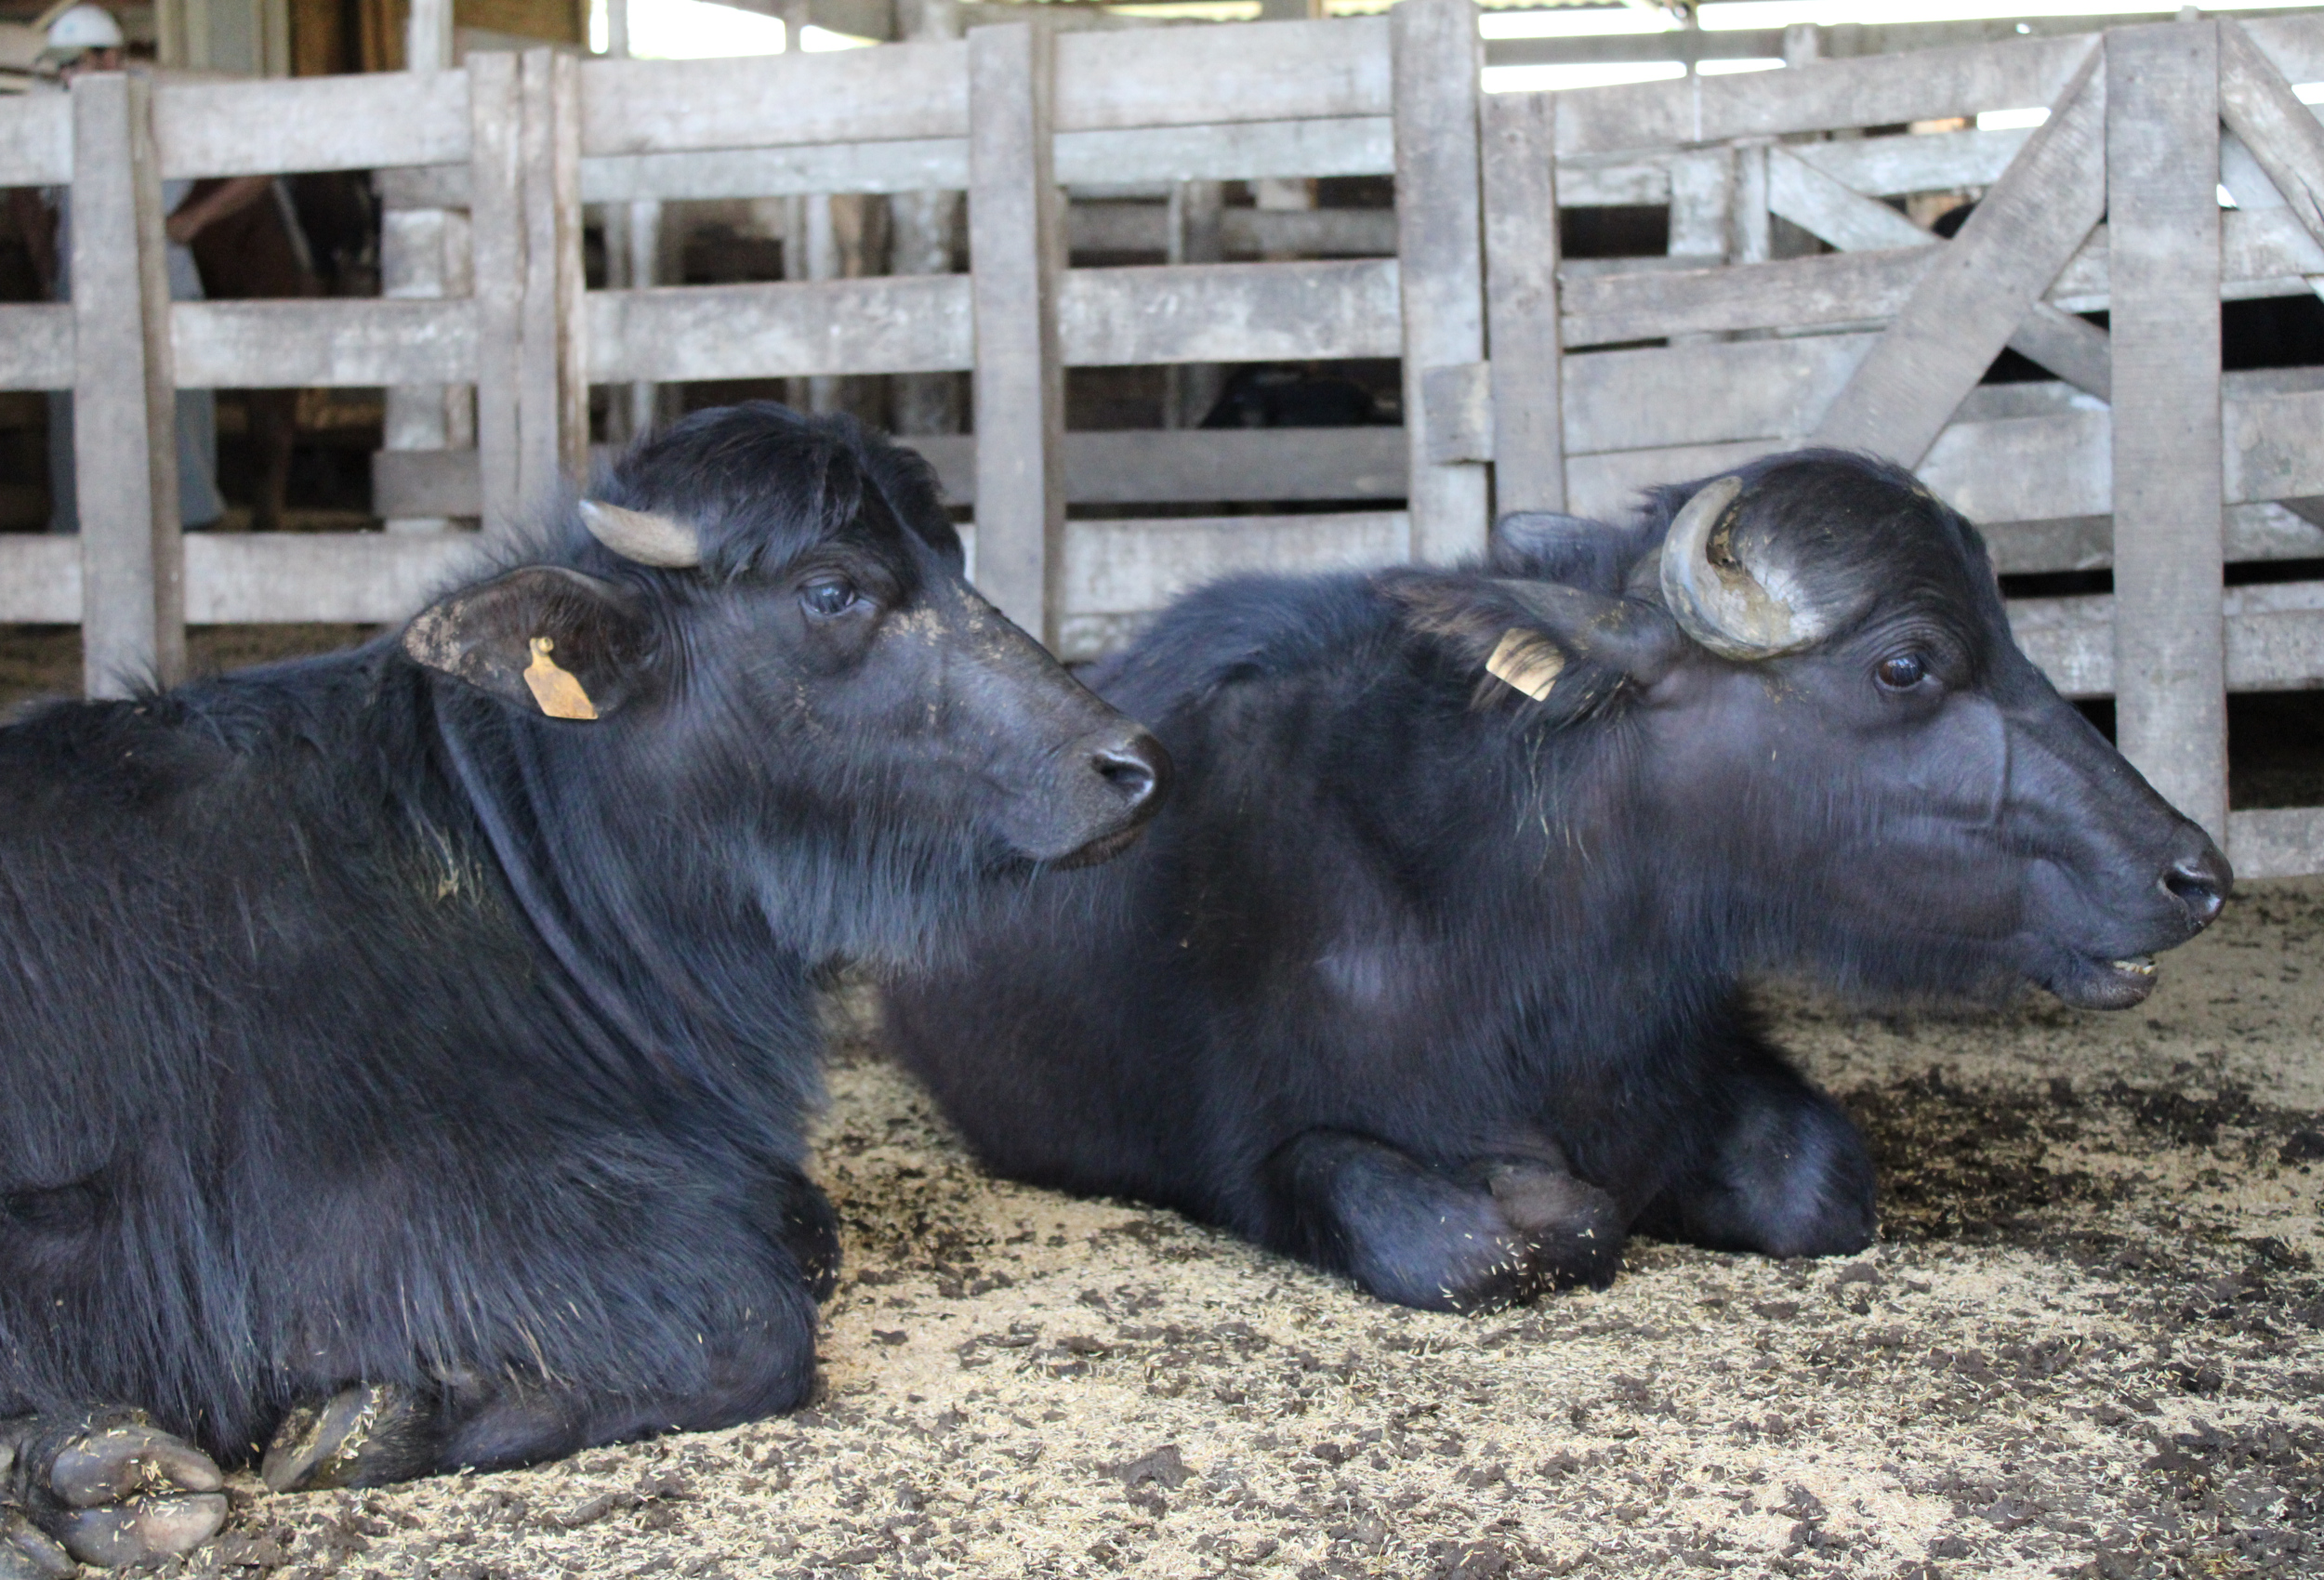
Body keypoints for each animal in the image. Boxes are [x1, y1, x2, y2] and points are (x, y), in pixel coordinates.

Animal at [0, 402, 1162, 1571]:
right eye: (832, 588)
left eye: (947, 556)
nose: (1132, 763)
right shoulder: (358, 1222)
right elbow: (754, 1314)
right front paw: (394, 1408)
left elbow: (807, 1226)